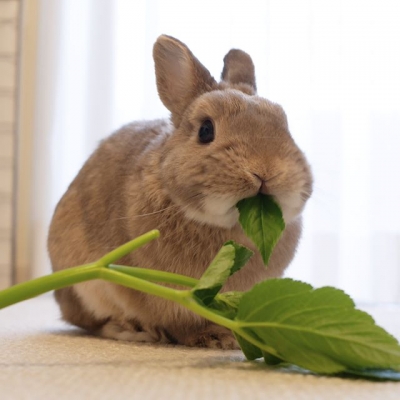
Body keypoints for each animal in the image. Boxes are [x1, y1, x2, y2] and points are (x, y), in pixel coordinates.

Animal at [47, 34, 312, 348]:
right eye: (206, 130)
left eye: (285, 126)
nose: (266, 170)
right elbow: (182, 323)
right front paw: (215, 338)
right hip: (84, 285)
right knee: (89, 320)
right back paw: (132, 330)